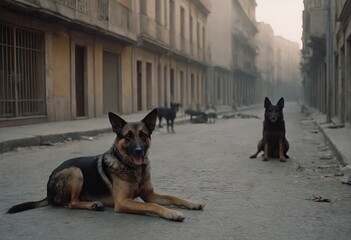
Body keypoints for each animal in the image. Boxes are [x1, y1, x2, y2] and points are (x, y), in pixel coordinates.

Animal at [6, 109, 205, 221]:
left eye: (143, 135)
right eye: (128, 136)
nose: (139, 151)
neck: (133, 168)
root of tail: (48, 189)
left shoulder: (150, 194)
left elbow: (174, 197)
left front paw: (192, 202)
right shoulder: (123, 202)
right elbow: (152, 206)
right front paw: (172, 213)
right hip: (76, 171)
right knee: (70, 203)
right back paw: (93, 205)